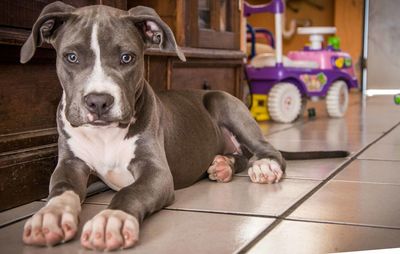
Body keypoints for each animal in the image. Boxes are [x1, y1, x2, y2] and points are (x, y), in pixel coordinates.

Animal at [20, 1, 348, 251]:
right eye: (71, 57)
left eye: (127, 57)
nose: (98, 102)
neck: (105, 135)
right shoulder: (71, 163)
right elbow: (61, 187)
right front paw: (50, 215)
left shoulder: (156, 173)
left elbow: (129, 192)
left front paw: (111, 219)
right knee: (240, 154)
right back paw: (223, 165)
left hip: (224, 101)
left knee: (268, 150)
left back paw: (264, 167)